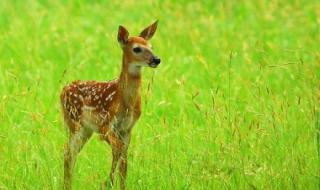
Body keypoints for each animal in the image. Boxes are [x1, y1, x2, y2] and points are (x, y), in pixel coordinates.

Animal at [60, 20, 160, 190]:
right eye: (137, 48)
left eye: (151, 46)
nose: (156, 59)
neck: (124, 101)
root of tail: (62, 91)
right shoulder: (105, 124)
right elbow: (118, 150)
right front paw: (107, 182)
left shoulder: (127, 128)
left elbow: (124, 161)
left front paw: (117, 184)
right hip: (75, 123)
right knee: (68, 153)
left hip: (85, 129)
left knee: (71, 153)